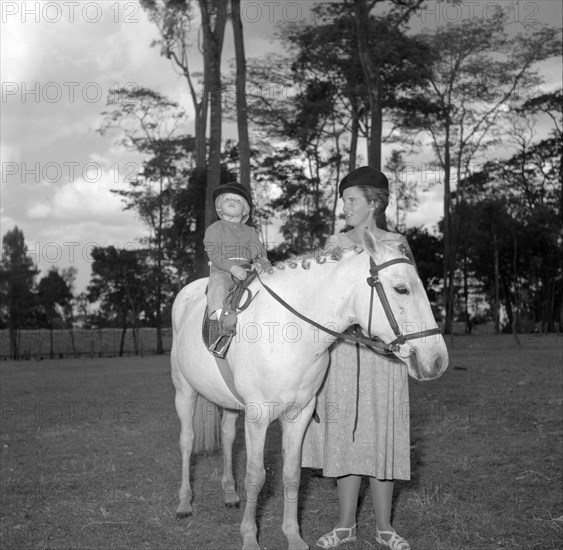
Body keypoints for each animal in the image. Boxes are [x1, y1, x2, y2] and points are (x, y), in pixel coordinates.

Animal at [172, 230, 450, 550]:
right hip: (184, 393)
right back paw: (184, 503)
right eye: (401, 289)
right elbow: (255, 476)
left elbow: (292, 474)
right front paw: (250, 537)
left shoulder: (300, 413)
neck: (289, 331)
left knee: (228, 437)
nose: (438, 360)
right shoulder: (257, 417)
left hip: (228, 403)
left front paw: (293, 536)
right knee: (187, 442)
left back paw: (229, 493)